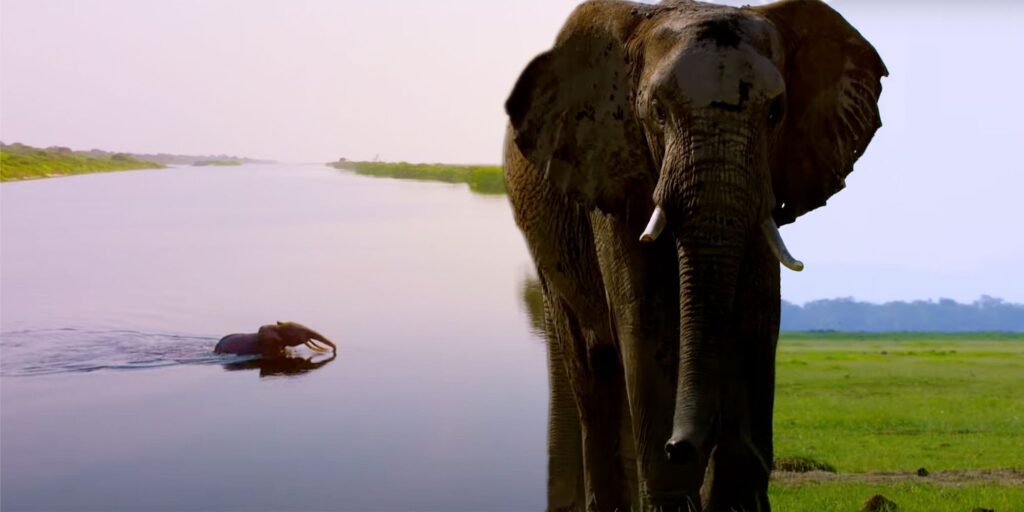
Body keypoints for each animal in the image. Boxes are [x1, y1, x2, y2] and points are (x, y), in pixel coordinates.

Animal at [502, 1, 886, 510]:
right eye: (657, 112)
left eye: (775, 112)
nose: (680, 444)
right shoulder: (610, 164)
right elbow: (645, 320)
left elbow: (755, 320)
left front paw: (737, 500)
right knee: (592, 369)